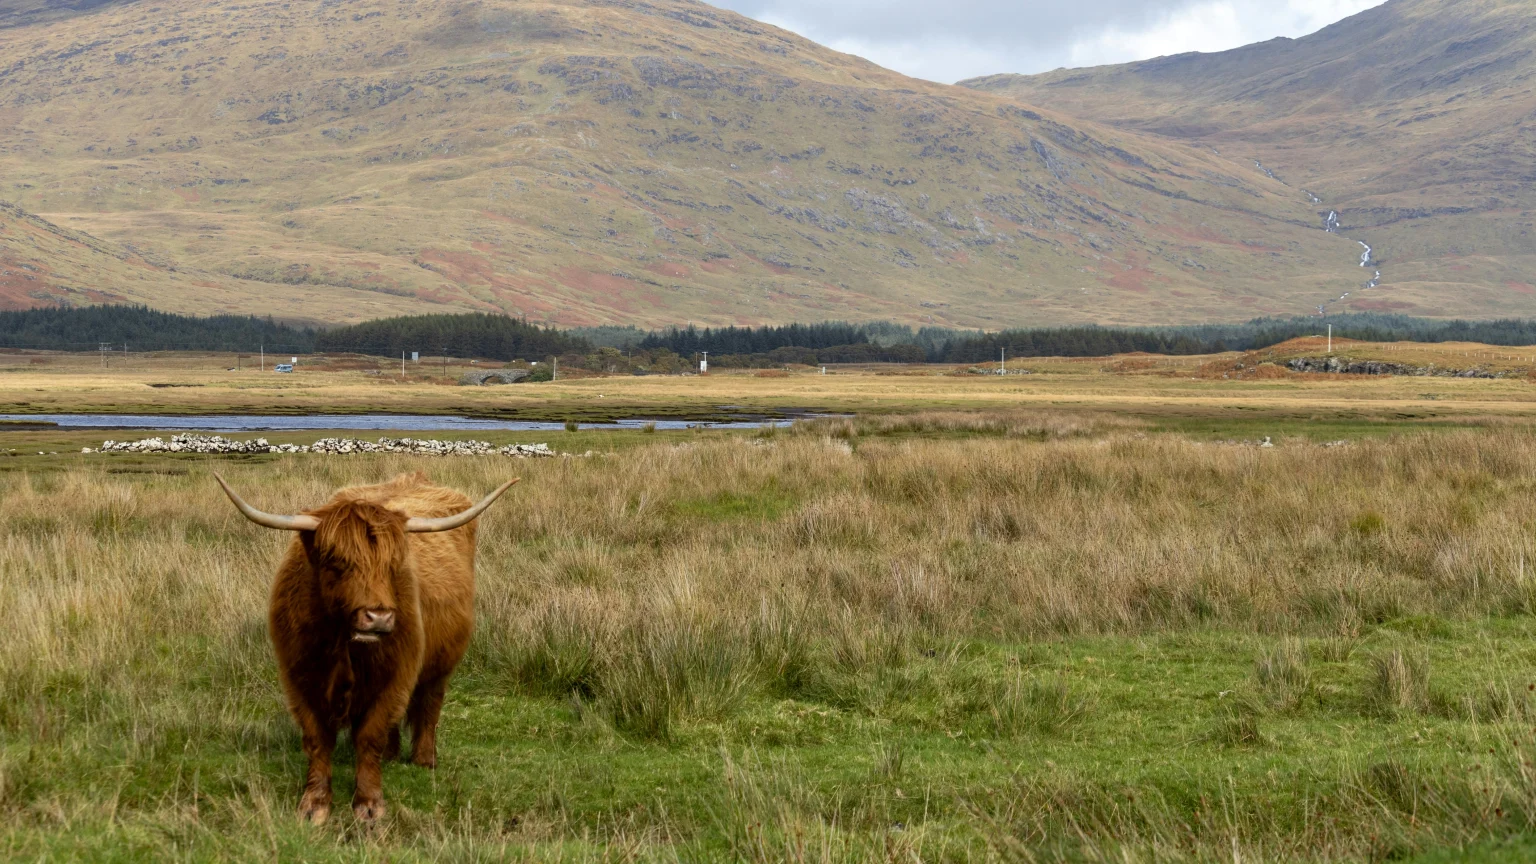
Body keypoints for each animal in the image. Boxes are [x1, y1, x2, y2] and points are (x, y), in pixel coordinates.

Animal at [214, 471, 518, 824]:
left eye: (393, 564)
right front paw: (314, 804)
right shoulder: (300, 680)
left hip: (441, 664)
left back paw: (424, 759)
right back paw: (391, 754)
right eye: (336, 562)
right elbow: (317, 739)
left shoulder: (395, 677)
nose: (379, 617)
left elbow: (370, 734)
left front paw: (369, 805)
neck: (343, 646)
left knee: (430, 704)